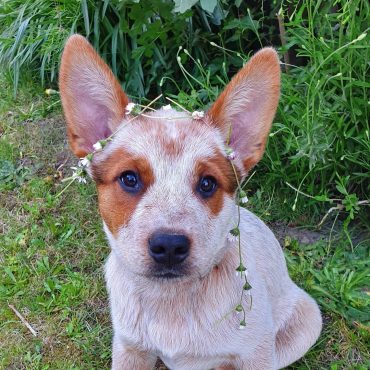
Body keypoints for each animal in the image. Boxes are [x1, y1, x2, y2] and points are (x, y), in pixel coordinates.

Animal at [58, 35, 320, 370]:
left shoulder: (257, 353)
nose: (169, 245)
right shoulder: (130, 348)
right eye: (129, 178)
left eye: (207, 183)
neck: (170, 301)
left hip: (306, 323)